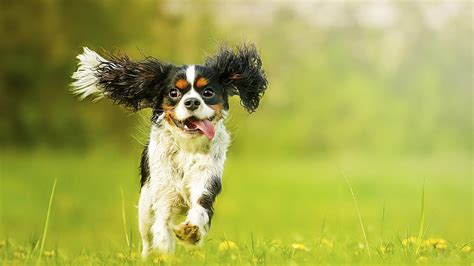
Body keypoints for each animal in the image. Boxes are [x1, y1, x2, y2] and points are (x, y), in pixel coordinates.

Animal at [72, 44, 268, 258]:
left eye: (208, 92)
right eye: (174, 93)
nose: (192, 102)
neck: (186, 146)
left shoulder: (205, 181)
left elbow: (200, 209)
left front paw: (191, 232)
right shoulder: (163, 197)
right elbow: (162, 232)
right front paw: (165, 256)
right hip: (145, 207)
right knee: (147, 239)